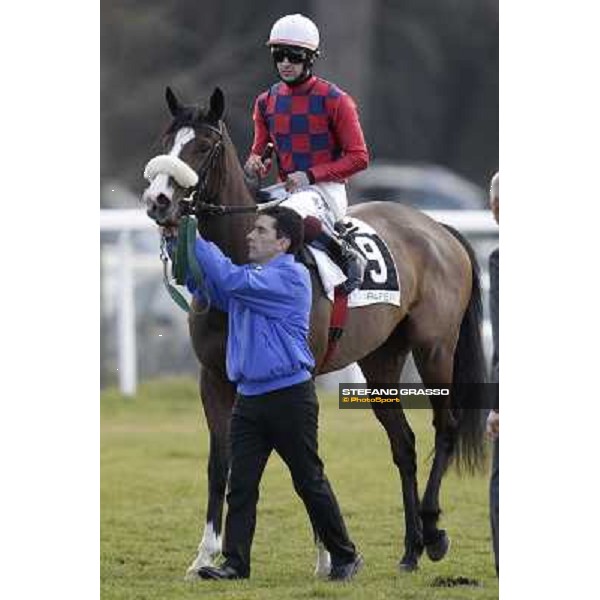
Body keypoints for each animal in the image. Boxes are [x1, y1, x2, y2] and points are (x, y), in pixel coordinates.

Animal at [142, 85, 488, 576]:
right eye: (166, 140)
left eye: (204, 146)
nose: (159, 199)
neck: (243, 267)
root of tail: (435, 226)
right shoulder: (214, 377)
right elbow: (220, 461)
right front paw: (206, 555)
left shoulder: (296, 375)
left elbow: (301, 462)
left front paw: (327, 554)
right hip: (381, 359)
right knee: (403, 443)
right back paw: (410, 550)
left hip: (435, 347)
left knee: (446, 427)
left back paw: (434, 532)